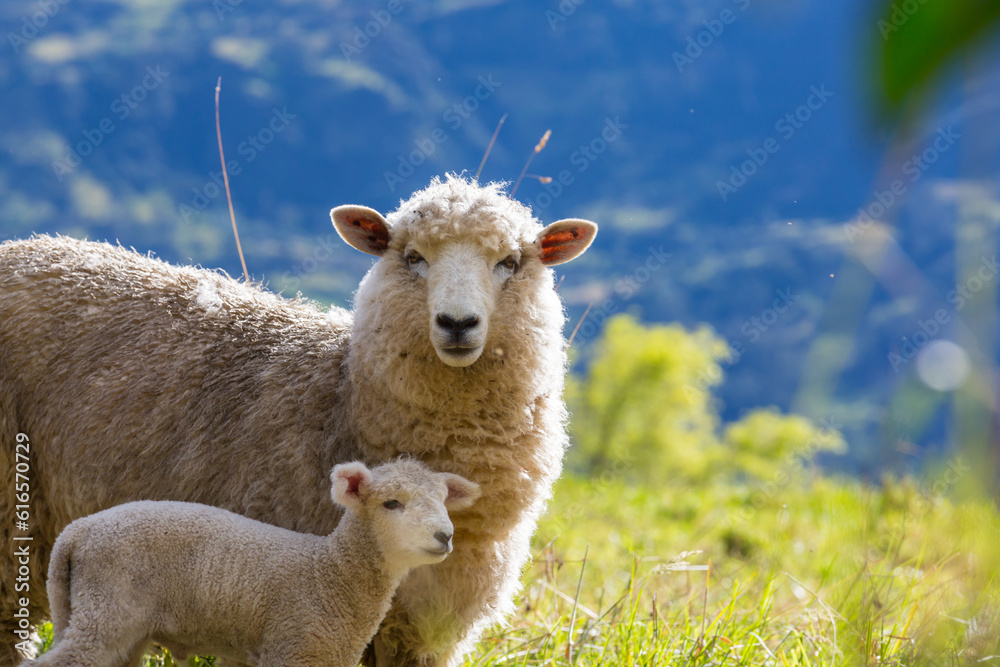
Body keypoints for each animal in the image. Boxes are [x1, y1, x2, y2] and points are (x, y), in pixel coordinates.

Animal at [26, 459, 480, 667]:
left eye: (443, 501)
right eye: (391, 503)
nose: (445, 536)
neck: (331, 572)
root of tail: (77, 532)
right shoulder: (293, 646)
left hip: (110, 619)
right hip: (110, 605)